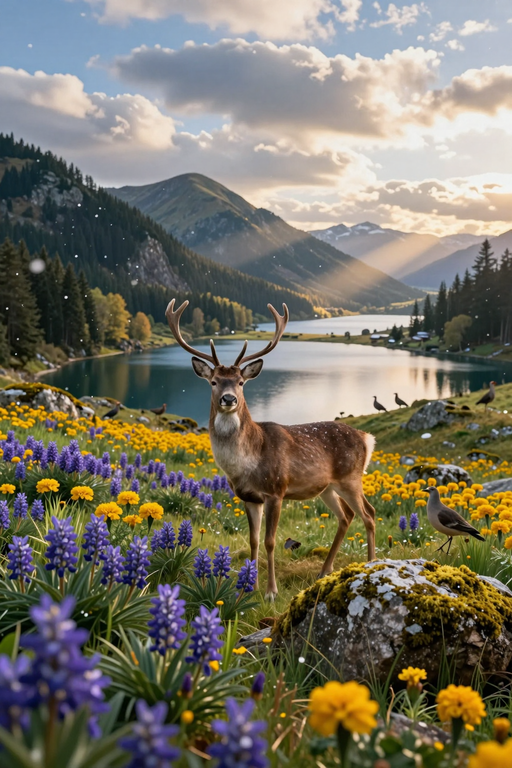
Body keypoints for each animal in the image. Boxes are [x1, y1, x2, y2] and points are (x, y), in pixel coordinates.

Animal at [165, 299, 377, 600]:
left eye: (241, 382)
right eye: (214, 381)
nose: (228, 399)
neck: (248, 462)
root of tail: (367, 439)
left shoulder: (276, 490)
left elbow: (270, 541)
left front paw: (271, 592)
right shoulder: (249, 497)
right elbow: (253, 540)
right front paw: (249, 588)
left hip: (350, 477)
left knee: (368, 515)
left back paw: (370, 565)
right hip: (327, 487)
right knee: (346, 516)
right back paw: (324, 571)